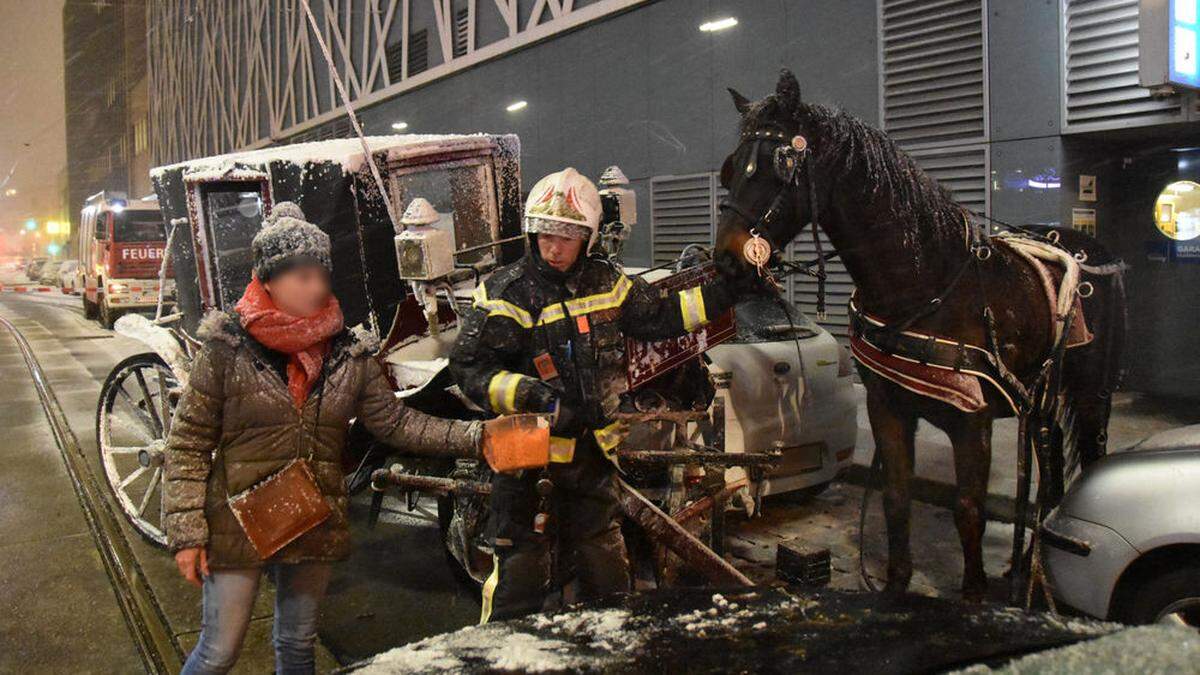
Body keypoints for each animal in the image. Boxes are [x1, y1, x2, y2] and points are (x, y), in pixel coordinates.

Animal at [710, 69, 1123, 598]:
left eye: (777, 166)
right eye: (731, 169)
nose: (726, 261)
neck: (924, 285)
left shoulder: (973, 422)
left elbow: (968, 512)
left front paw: (973, 594)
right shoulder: (887, 408)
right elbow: (896, 499)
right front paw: (895, 588)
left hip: (1092, 394)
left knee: (1087, 457)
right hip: (1042, 400)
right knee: (1048, 477)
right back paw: (1024, 567)